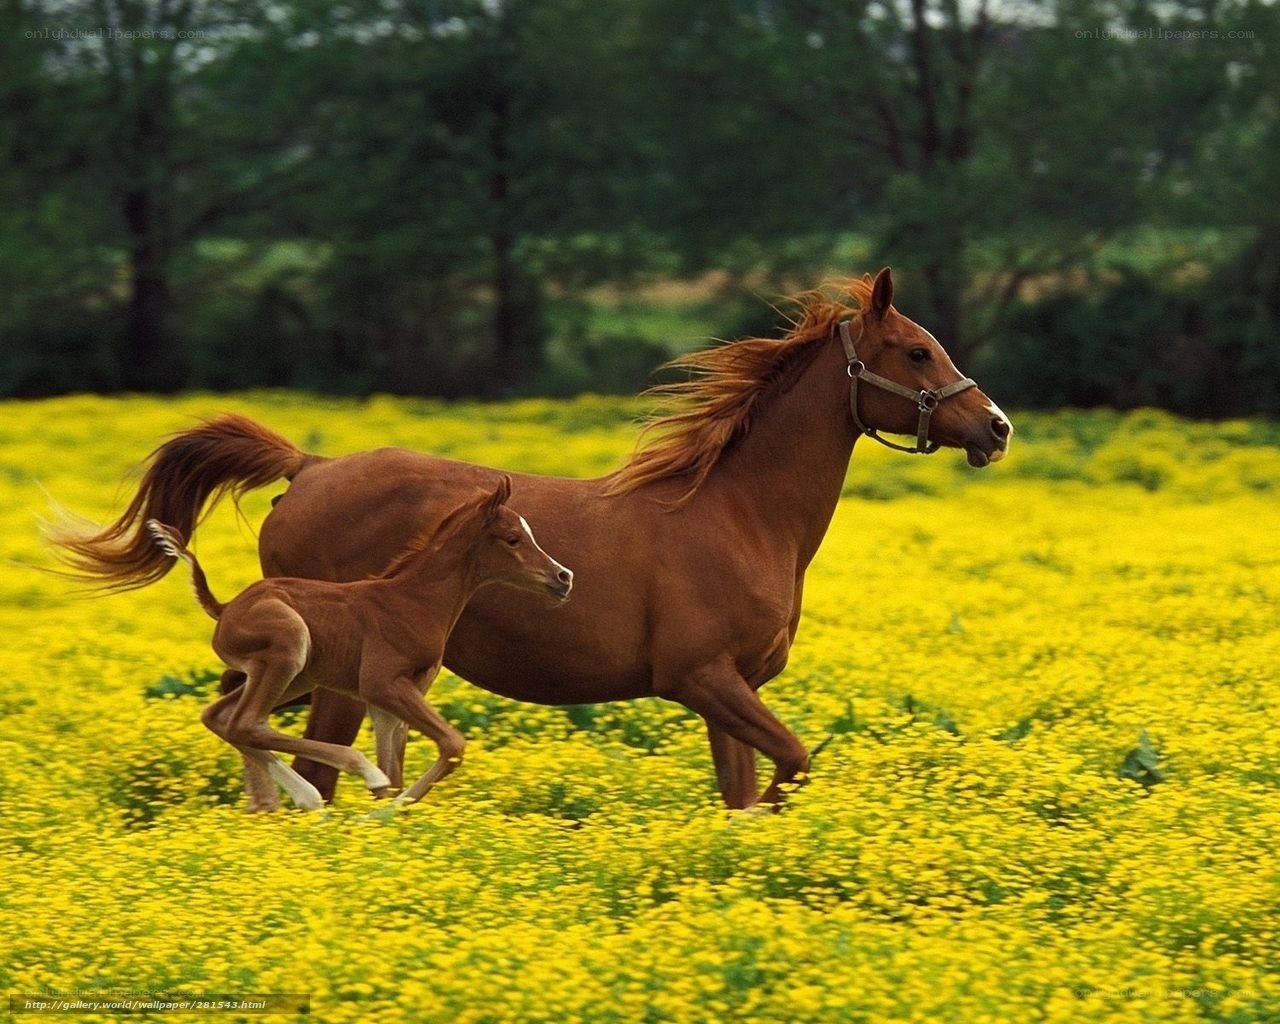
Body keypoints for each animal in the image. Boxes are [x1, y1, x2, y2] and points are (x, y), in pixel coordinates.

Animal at [145, 476, 573, 811]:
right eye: (513, 539)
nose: (563, 577)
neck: (415, 601)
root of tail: (225, 607)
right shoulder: (380, 683)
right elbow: (451, 745)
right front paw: (384, 811)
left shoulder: (392, 697)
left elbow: (398, 769)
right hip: (289, 646)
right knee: (246, 722)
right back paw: (347, 778)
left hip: (296, 676)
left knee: (222, 718)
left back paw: (303, 798)